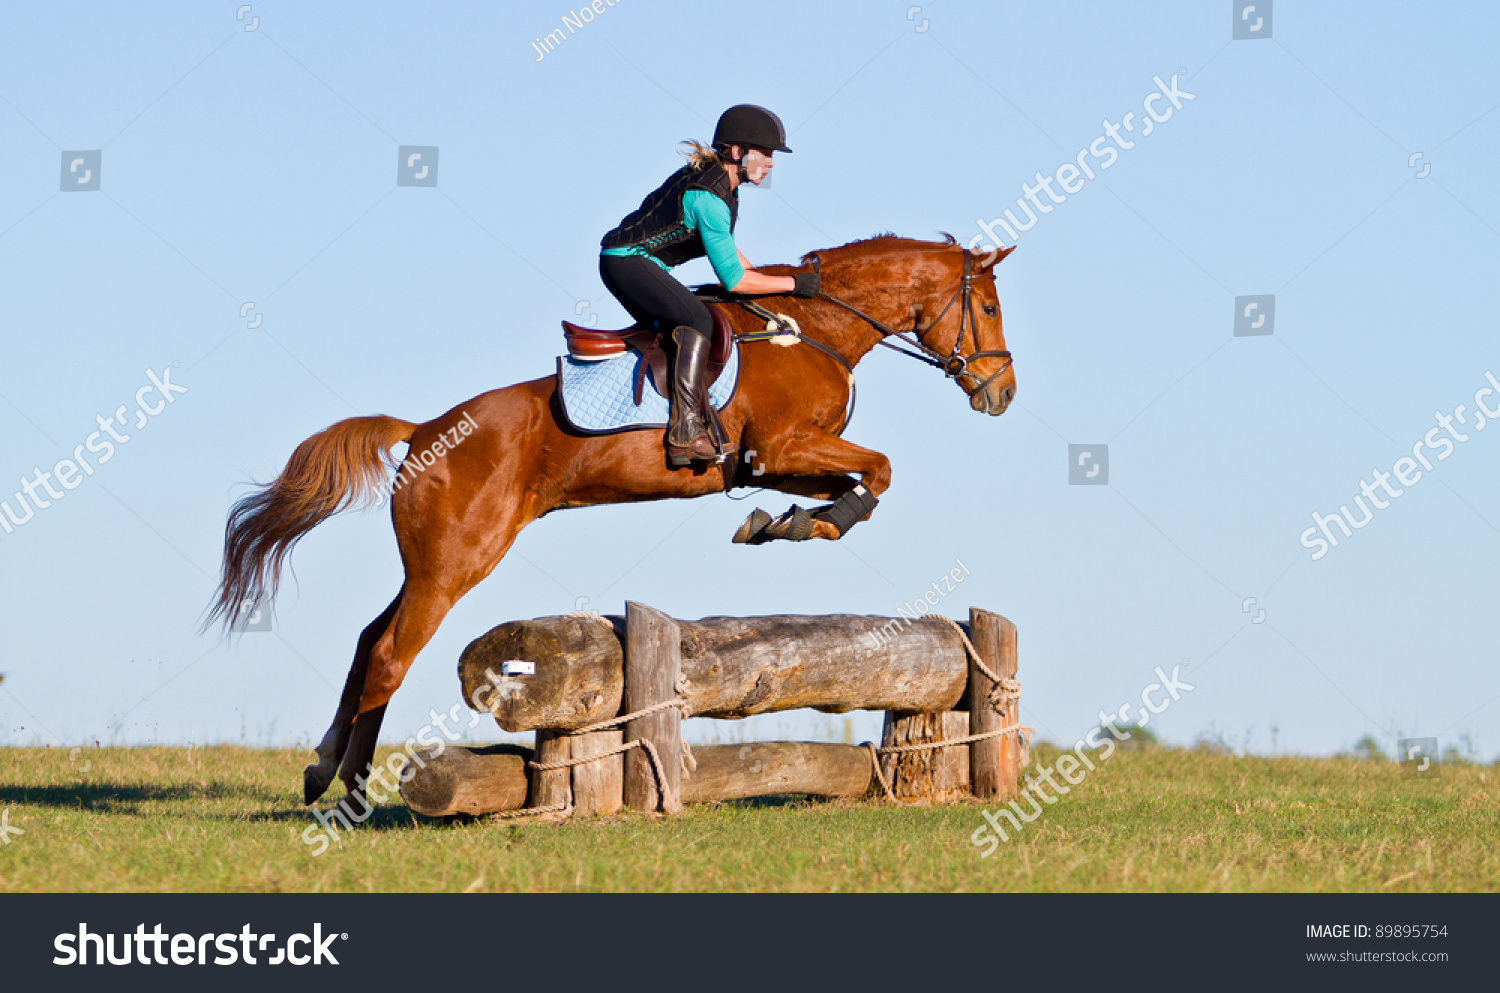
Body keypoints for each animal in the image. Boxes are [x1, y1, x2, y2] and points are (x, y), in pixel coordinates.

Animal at [209, 234, 1018, 810]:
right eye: (987, 309)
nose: (1001, 392)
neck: (810, 326)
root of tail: (423, 431)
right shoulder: (785, 444)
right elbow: (880, 468)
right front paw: (799, 525)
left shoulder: (772, 461)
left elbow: (858, 479)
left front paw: (784, 522)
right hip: (457, 560)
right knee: (386, 655)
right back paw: (348, 793)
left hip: (436, 562)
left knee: (367, 639)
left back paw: (321, 770)